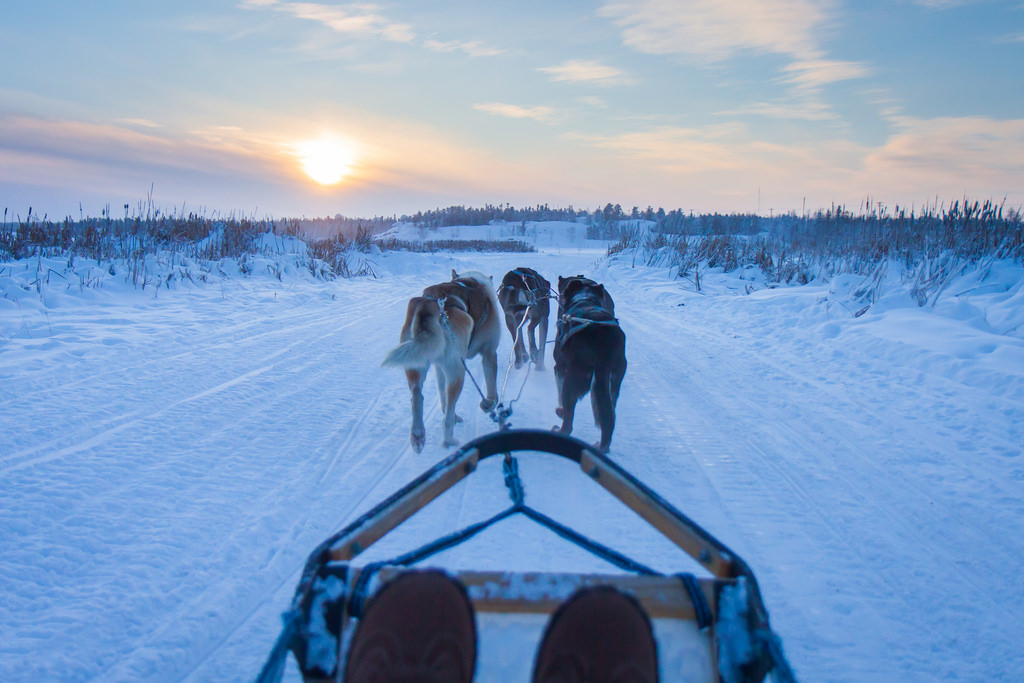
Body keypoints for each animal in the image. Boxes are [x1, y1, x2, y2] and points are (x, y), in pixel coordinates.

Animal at [380, 268, 499, 454]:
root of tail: (428, 304)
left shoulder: (438, 367)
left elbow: (442, 397)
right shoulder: (489, 353)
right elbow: (493, 391)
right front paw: (489, 404)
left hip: (417, 365)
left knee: (418, 396)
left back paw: (418, 435)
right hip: (458, 373)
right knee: (447, 417)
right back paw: (449, 440)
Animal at [552, 274, 622, 450]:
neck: (584, 297)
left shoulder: (560, 367)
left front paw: (560, 410)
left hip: (573, 380)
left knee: (568, 424)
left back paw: (559, 429)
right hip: (613, 384)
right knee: (609, 419)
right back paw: (601, 446)